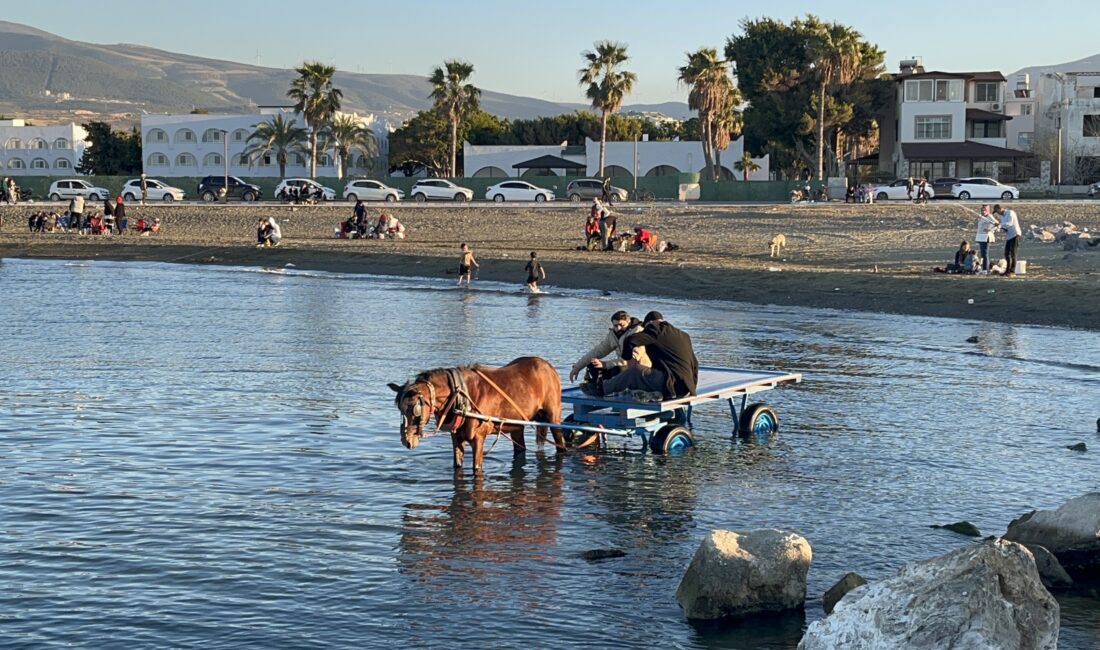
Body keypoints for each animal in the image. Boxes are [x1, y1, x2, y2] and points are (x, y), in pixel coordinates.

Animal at [387, 356, 563, 472]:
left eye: (414, 410)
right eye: (401, 410)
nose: (407, 441)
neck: (462, 395)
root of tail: (548, 366)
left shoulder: (478, 439)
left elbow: (476, 469)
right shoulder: (456, 438)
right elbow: (457, 465)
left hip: (553, 418)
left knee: (561, 444)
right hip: (516, 425)